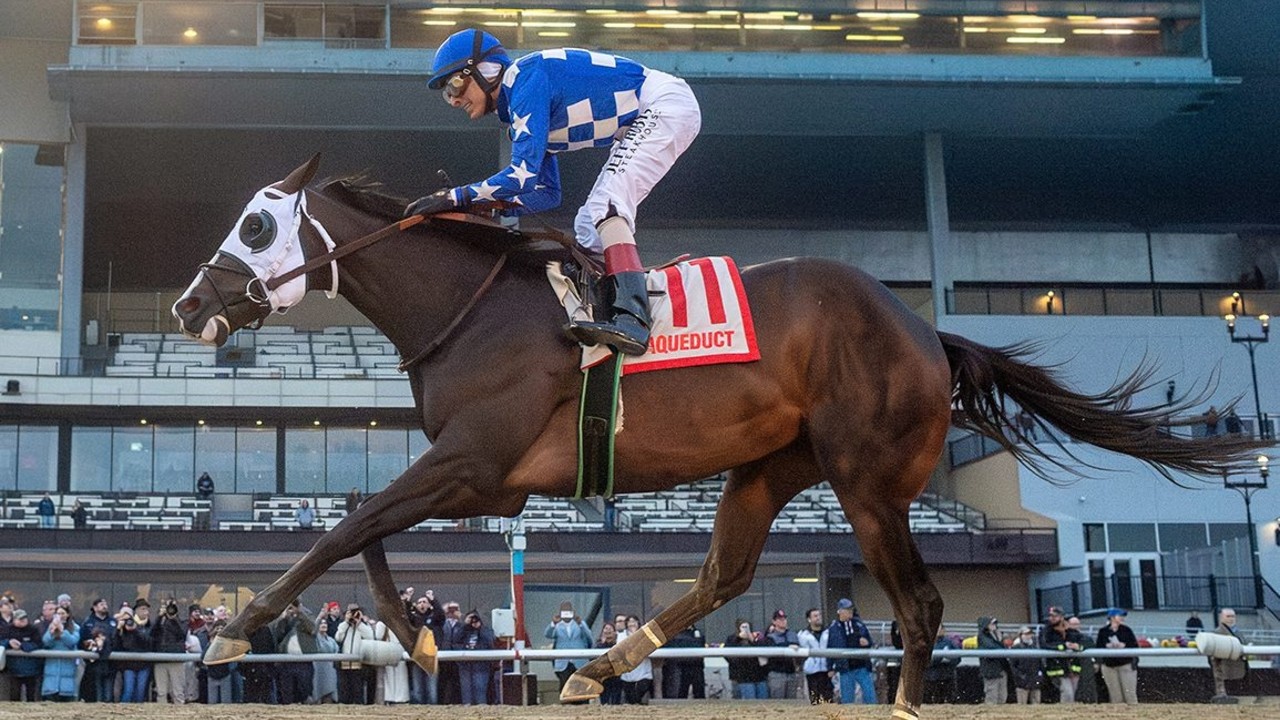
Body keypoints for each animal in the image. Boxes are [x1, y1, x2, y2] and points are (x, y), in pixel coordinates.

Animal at [170, 156, 1259, 712]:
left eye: (257, 227)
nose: (188, 307)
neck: (474, 307)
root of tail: (925, 330)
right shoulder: (481, 477)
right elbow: (366, 534)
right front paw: (422, 641)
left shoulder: (478, 464)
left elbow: (344, 527)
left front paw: (234, 628)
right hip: (769, 469)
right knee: (726, 576)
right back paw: (599, 668)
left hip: (868, 483)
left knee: (918, 607)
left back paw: (901, 700)